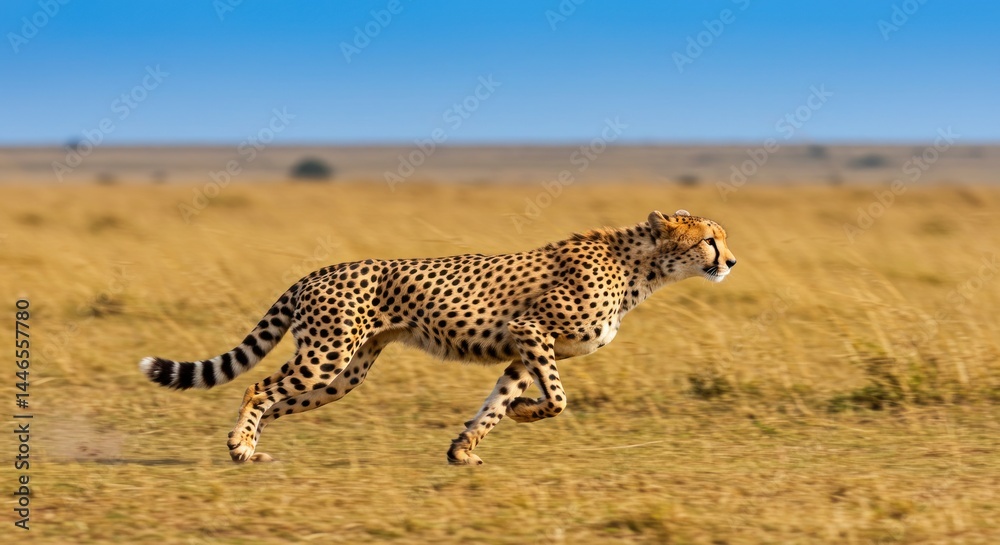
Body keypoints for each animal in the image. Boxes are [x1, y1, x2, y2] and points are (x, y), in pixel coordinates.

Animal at [139, 209, 736, 465]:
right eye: (709, 240)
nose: (730, 261)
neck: (641, 268)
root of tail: (317, 271)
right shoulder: (530, 331)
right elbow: (558, 400)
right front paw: (523, 417)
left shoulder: (521, 352)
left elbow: (499, 402)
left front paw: (464, 447)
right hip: (327, 355)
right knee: (258, 388)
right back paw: (240, 444)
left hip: (346, 371)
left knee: (280, 400)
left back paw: (250, 447)